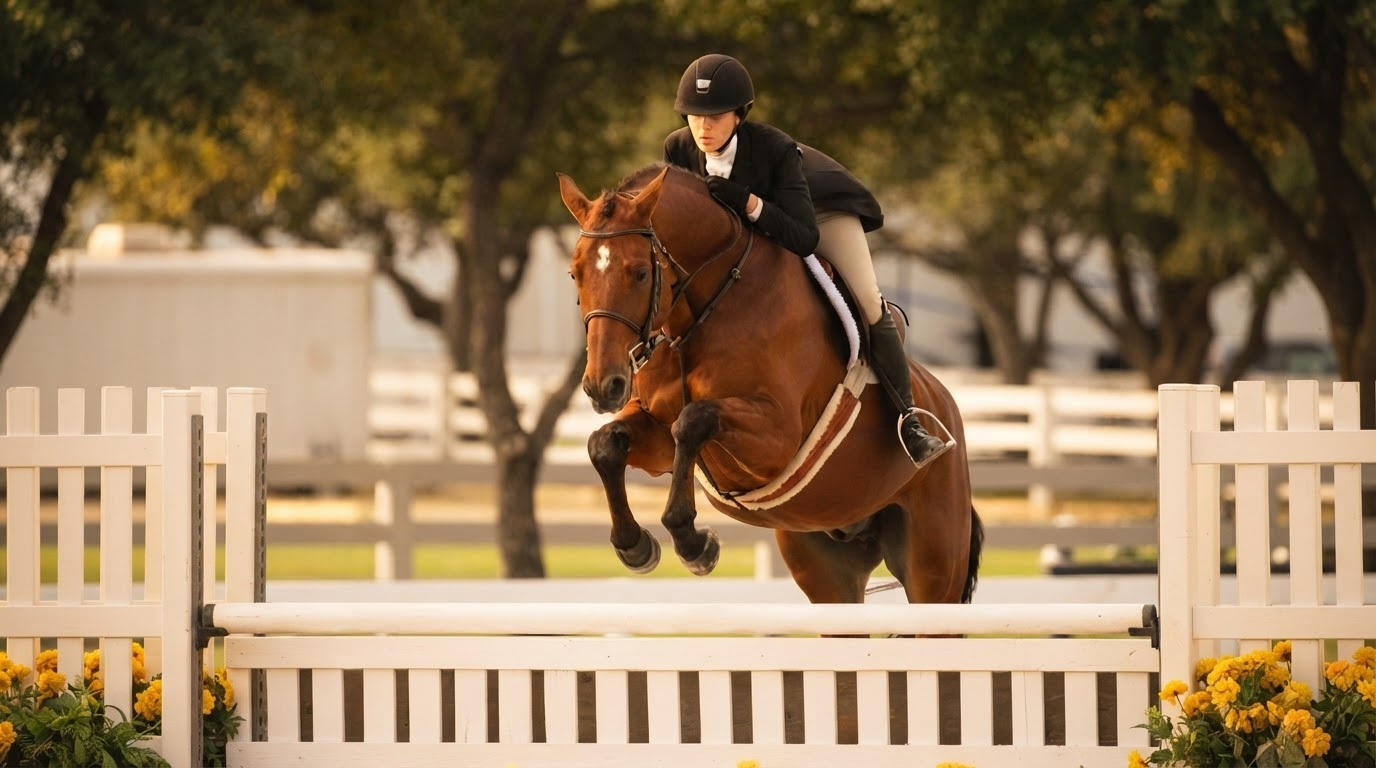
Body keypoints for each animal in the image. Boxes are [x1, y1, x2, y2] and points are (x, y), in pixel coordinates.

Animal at [557, 163, 983, 606]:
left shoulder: (777, 438)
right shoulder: (658, 436)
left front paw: (694, 543)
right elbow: (605, 444)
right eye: (575, 273)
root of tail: (945, 401)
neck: (700, 313)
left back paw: (919, 438)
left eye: (640, 274)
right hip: (826, 566)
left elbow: (694, 420)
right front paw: (635, 546)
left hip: (933, 567)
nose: (602, 386)